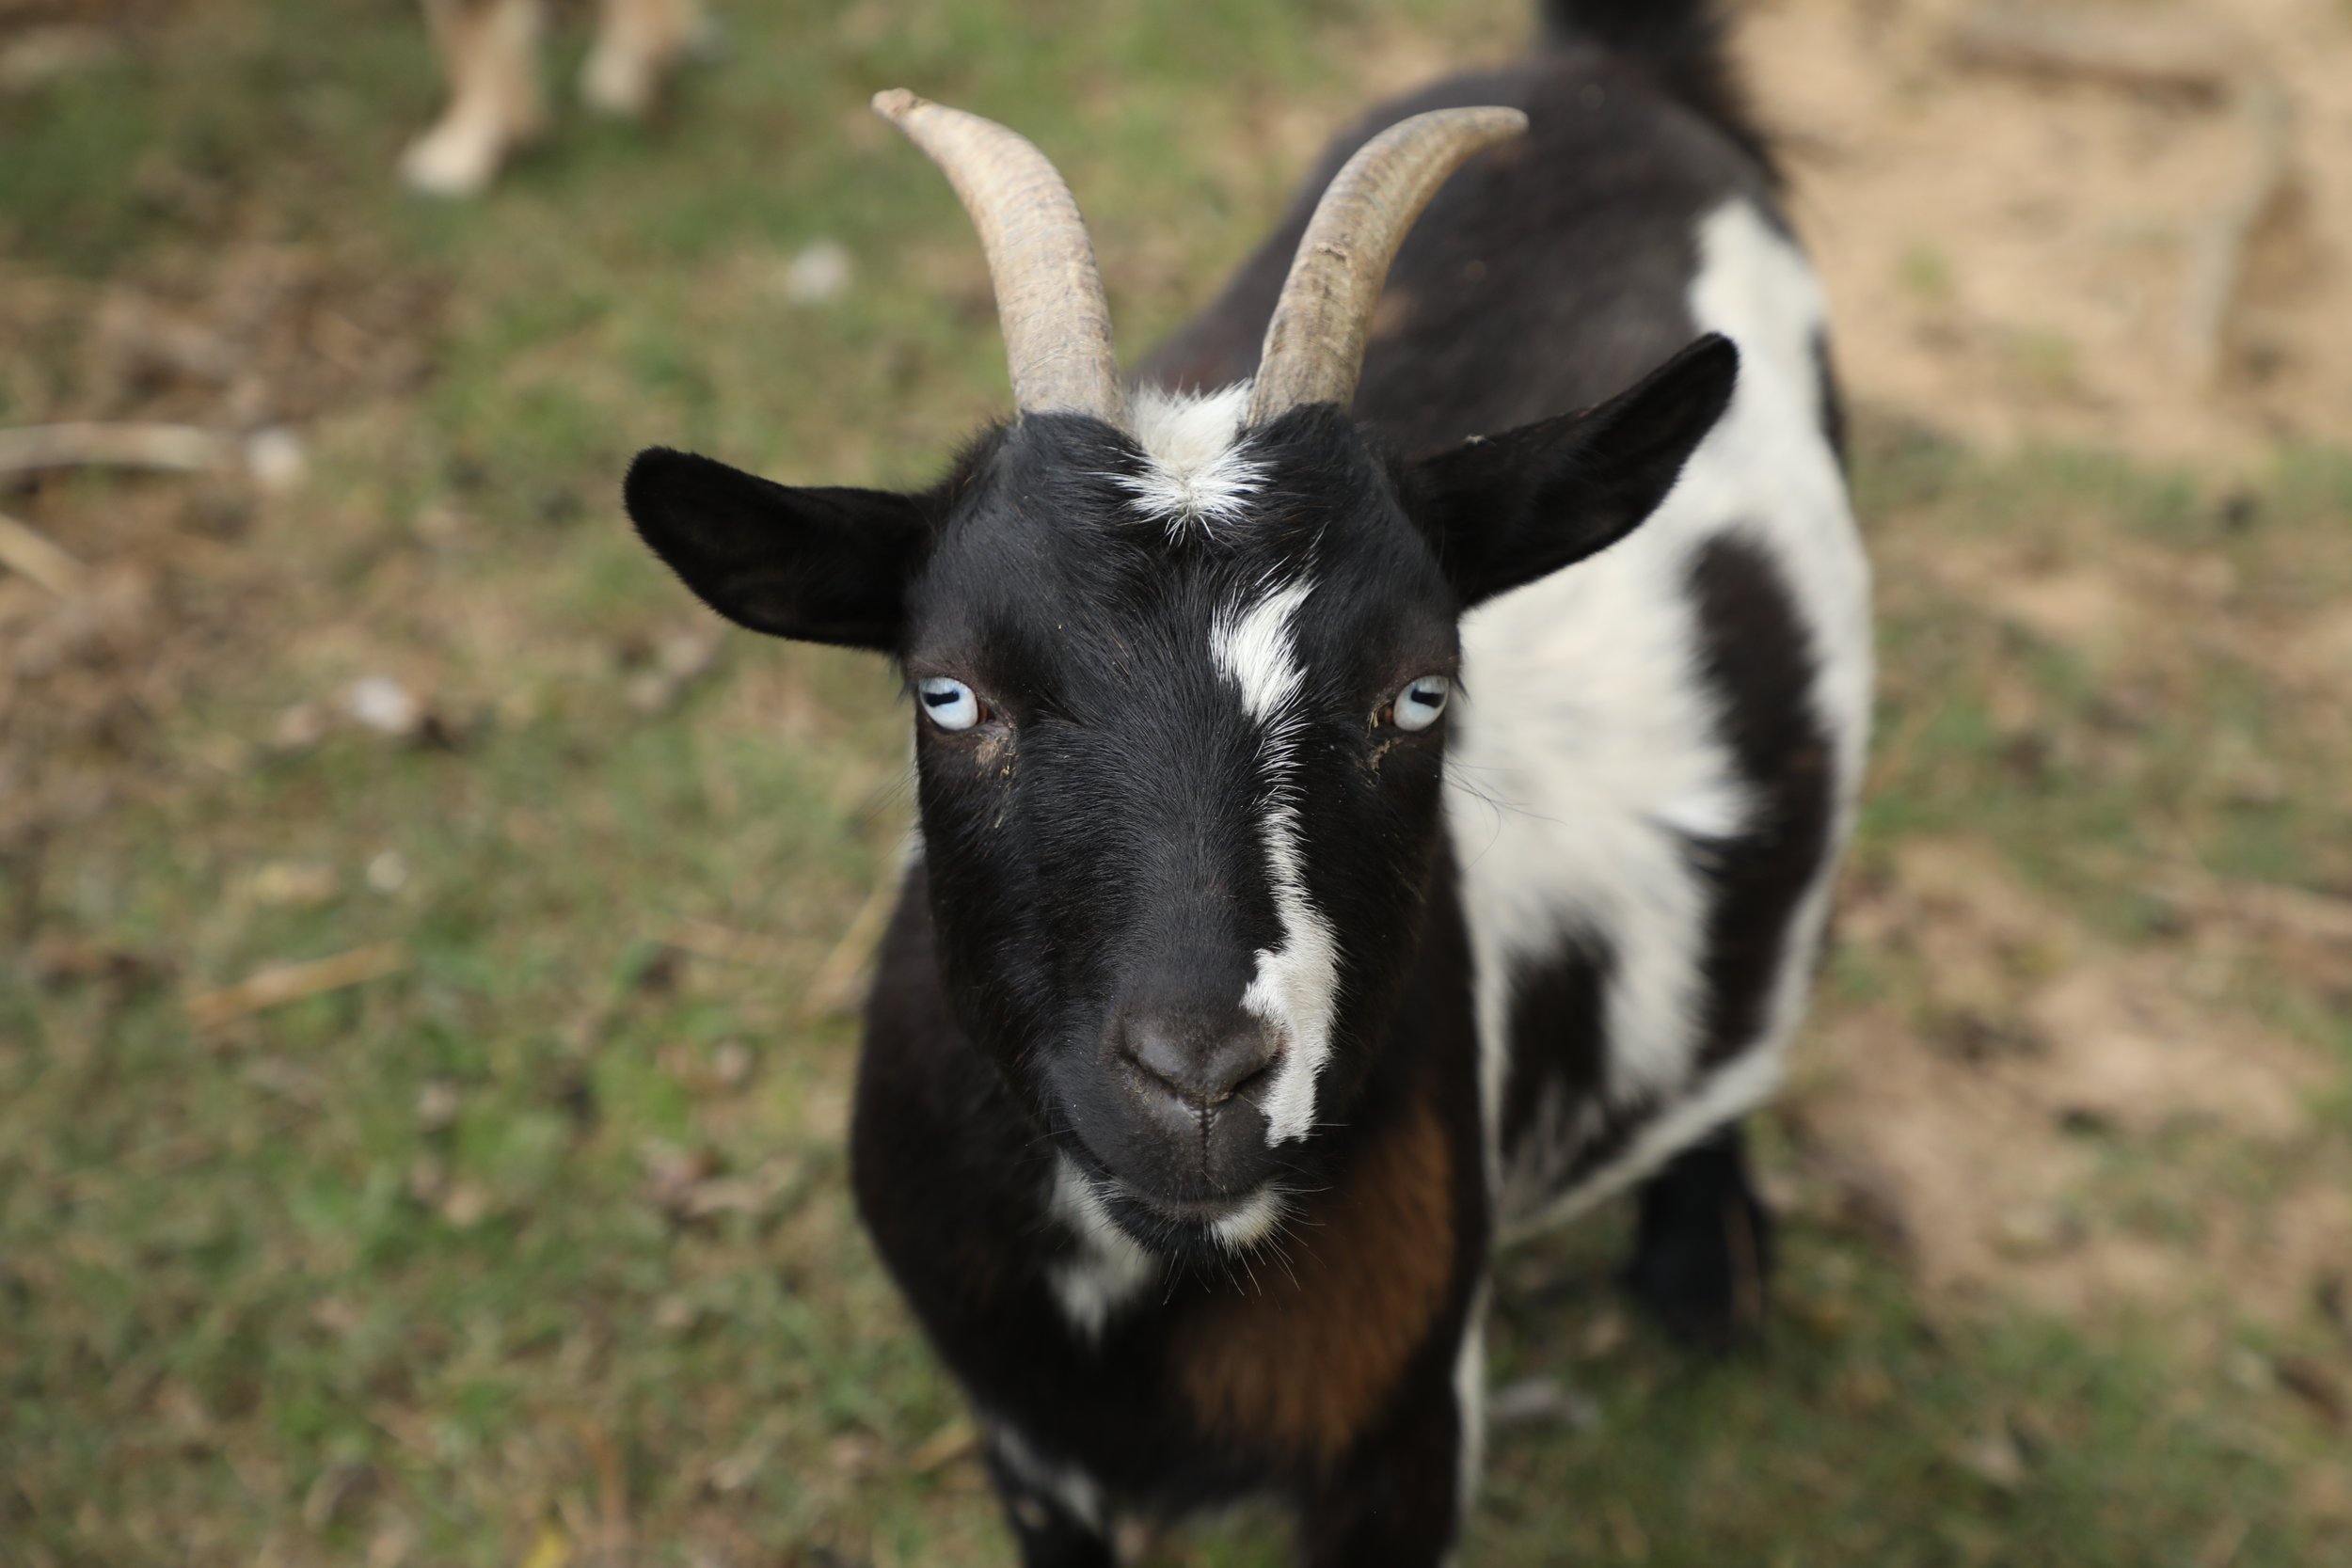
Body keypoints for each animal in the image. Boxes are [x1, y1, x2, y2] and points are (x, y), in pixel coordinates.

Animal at [623, 1, 1870, 1561]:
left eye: (1420, 690)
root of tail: (1604, 68)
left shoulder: (1401, 1435)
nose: (1204, 1078)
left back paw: (1708, 1262)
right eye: (948, 691)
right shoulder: (1028, 1446)